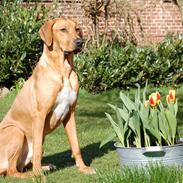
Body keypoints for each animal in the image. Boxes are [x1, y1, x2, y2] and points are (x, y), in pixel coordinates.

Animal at [0, 17, 95, 177]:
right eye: (63, 29)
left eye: (77, 29)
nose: (80, 42)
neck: (63, 69)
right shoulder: (40, 114)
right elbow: (37, 151)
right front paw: (38, 176)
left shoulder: (70, 113)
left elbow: (76, 145)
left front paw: (83, 168)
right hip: (16, 131)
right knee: (12, 171)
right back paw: (33, 174)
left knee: (20, 166)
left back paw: (45, 167)